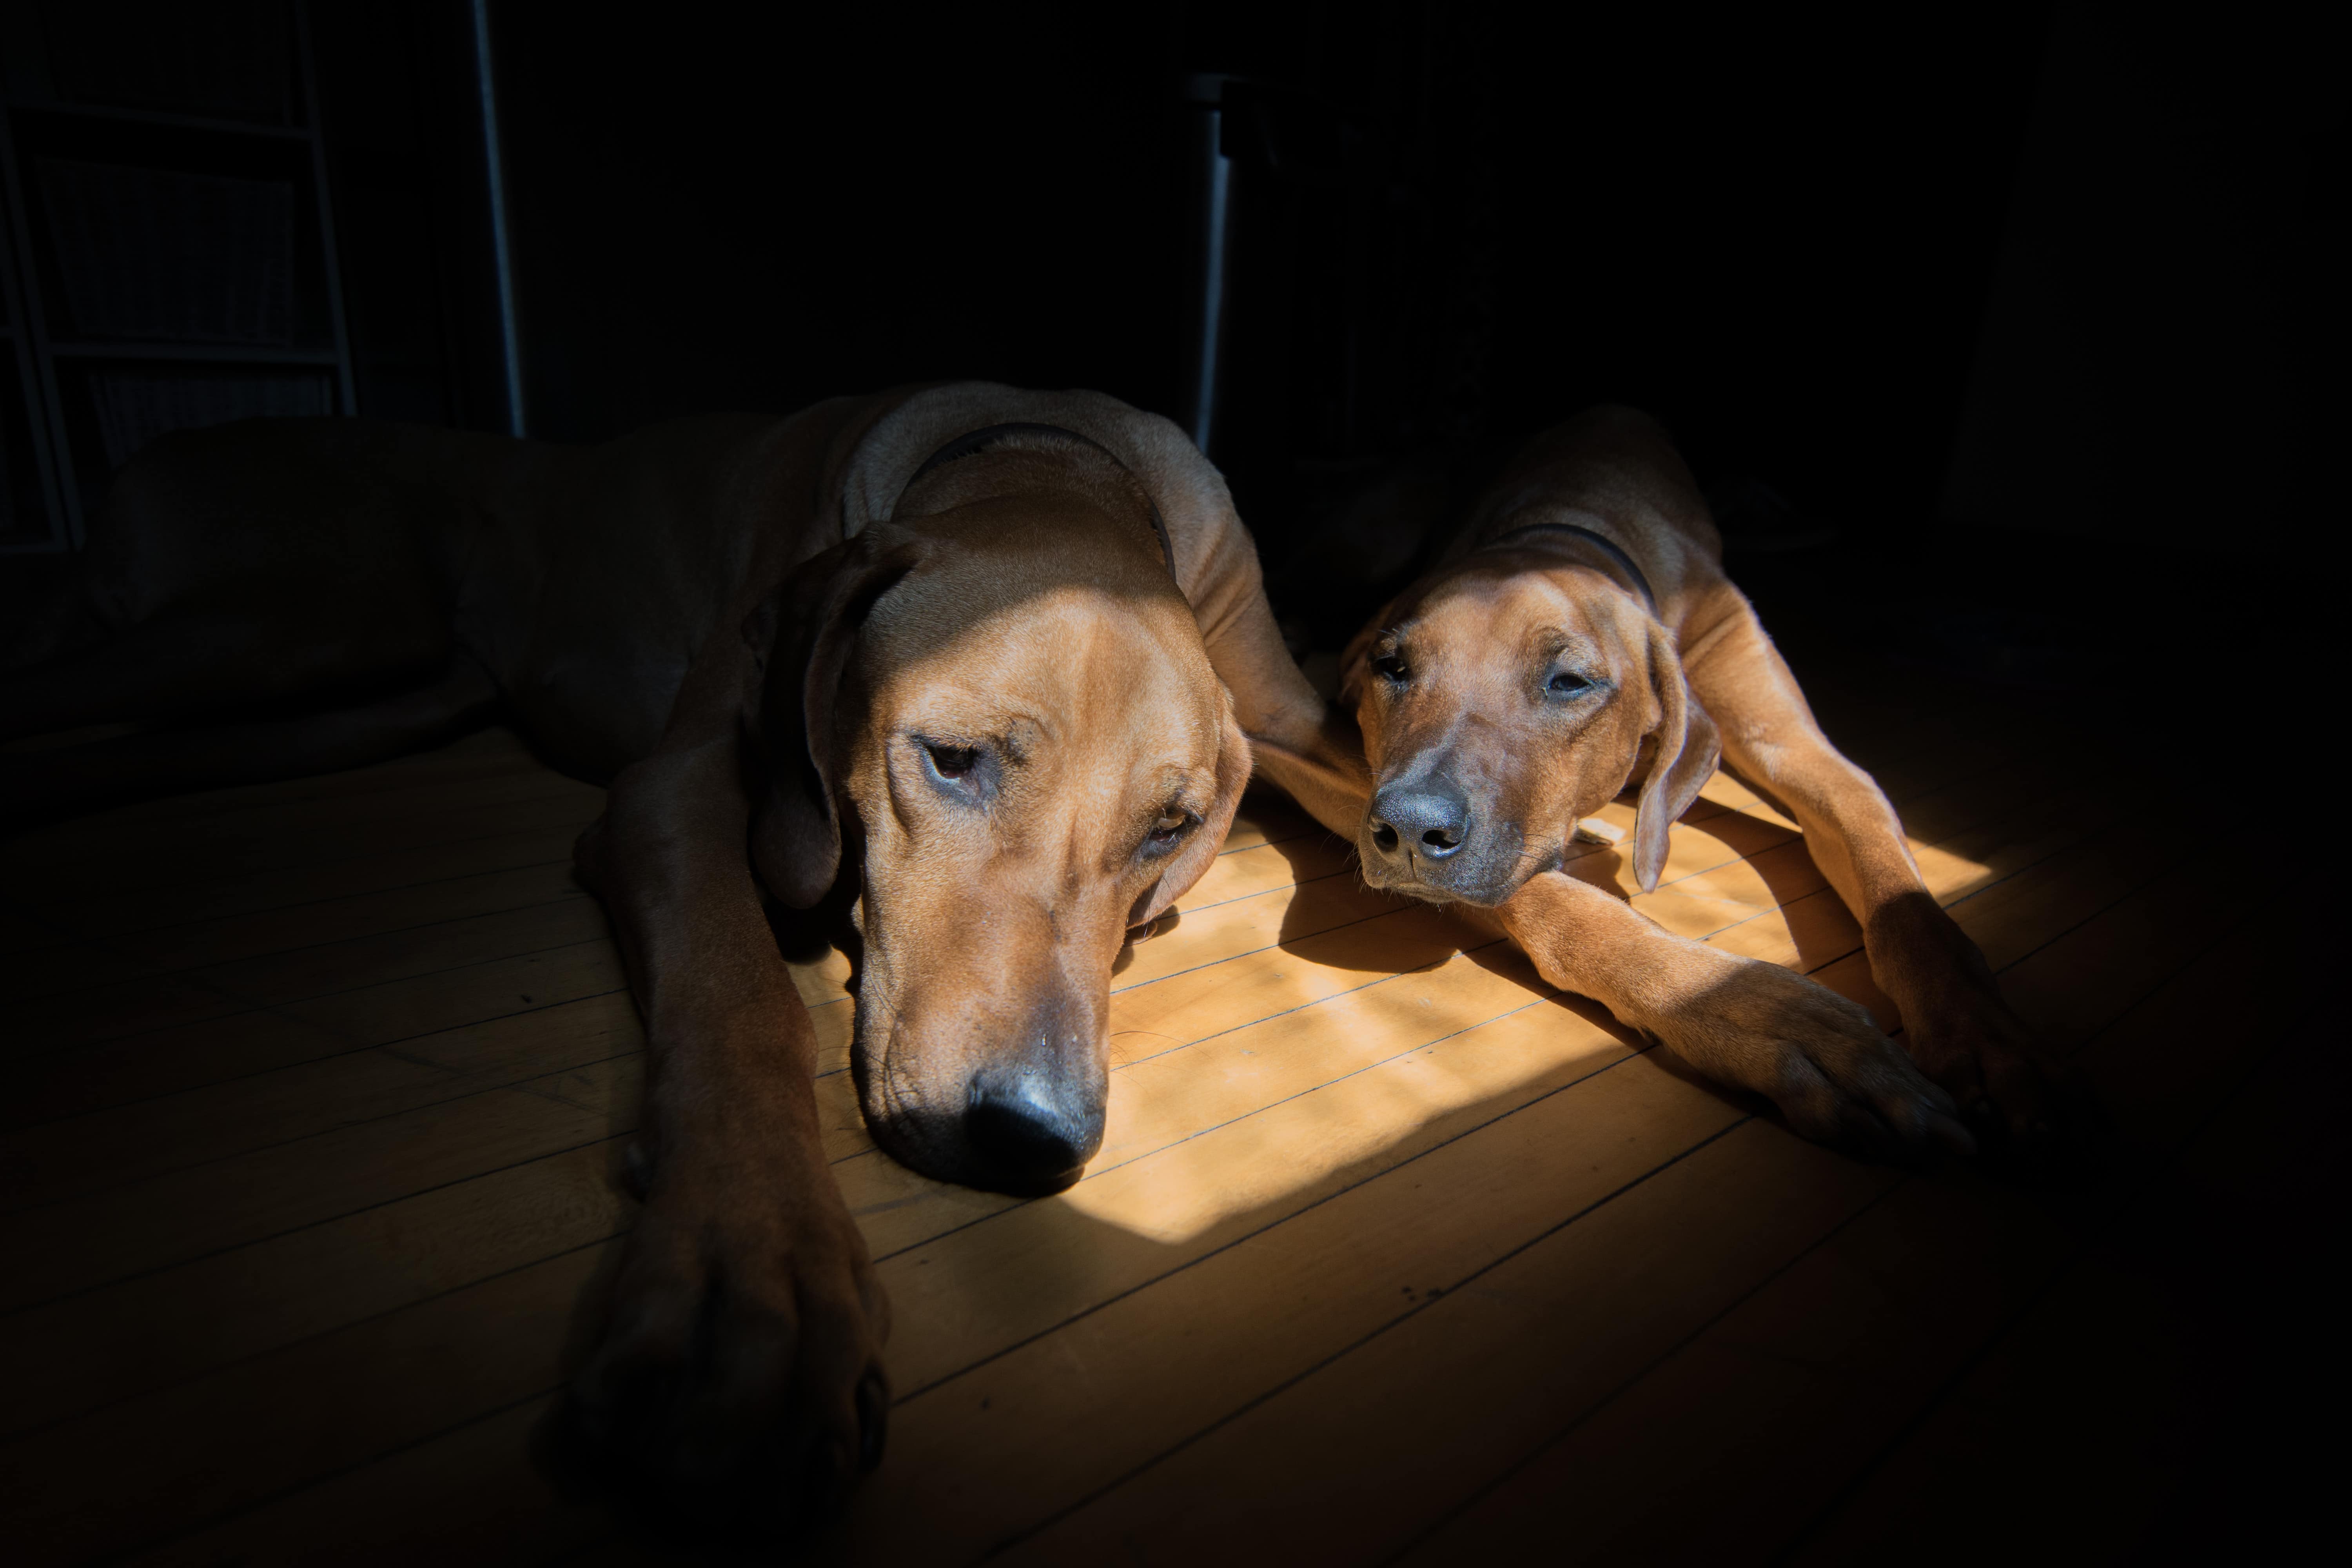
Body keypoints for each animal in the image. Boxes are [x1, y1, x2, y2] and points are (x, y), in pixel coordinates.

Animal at [1336, 404, 2070, 1166]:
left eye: (1569, 681)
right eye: (1393, 667)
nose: (1409, 829)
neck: (1569, 517)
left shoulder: (1782, 724)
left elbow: (1893, 875)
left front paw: (1990, 1039)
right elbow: (1570, 907)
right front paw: (1768, 1023)